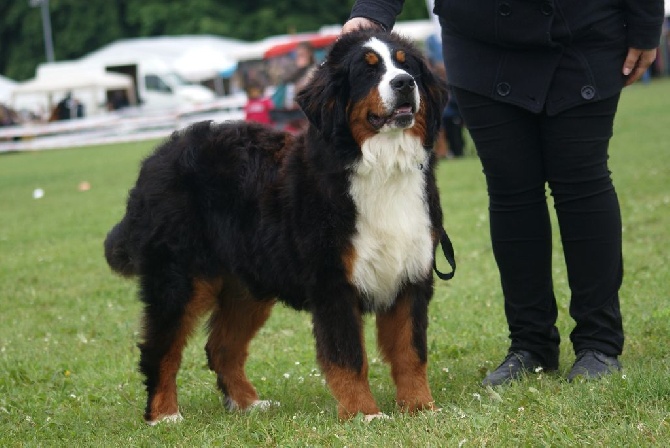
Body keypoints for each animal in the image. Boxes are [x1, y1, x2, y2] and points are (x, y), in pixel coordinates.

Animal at [105, 30, 456, 424]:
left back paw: (248, 403)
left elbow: (411, 352)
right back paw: (164, 414)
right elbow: (348, 357)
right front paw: (364, 414)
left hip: (247, 285)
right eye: (368, 71)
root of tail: (155, 160)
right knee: (161, 348)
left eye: (407, 65)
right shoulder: (333, 282)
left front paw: (421, 408)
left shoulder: (410, 274)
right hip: (178, 279)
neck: (380, 166)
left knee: (221, 347)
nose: (404, 83)